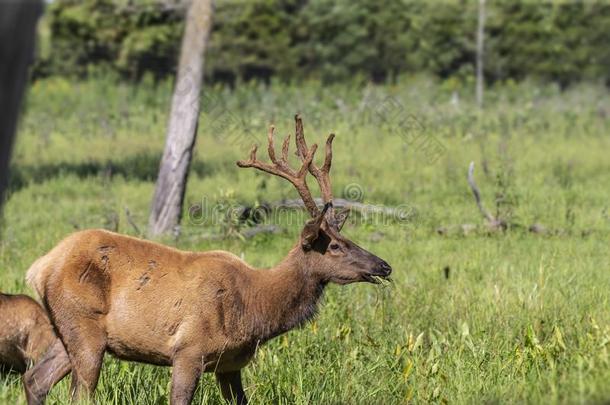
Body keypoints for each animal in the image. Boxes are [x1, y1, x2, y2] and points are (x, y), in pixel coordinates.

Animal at [22, 114, 390, 404]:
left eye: (348, 238)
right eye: (335, 246)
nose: (384, 266)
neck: (255, 310)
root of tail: (39, 268)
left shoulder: (230, 364)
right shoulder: (188, 350)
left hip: (65, 331)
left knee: (34, 380)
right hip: (84, 327)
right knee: (77, 394)